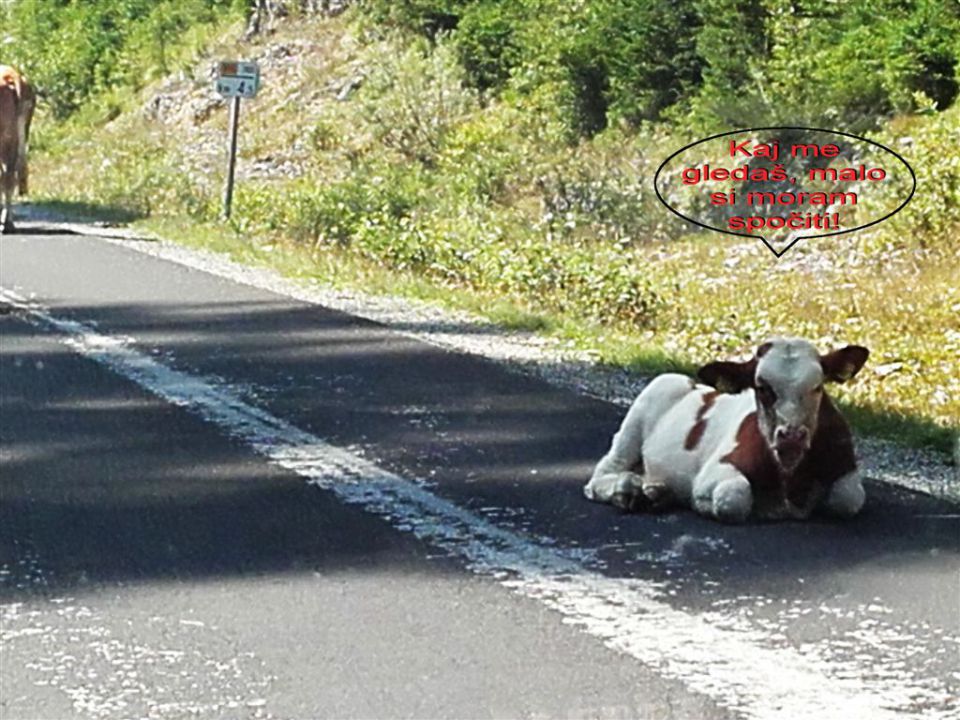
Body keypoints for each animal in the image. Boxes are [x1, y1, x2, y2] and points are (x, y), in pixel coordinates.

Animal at [584, 338, 872, 524]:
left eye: (817, 387)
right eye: (762, 387)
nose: (791, 435)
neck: (790, 482)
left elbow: (848, 498)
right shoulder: (716, 471)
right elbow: (733, 498)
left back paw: (654, 492)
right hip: (644, 409)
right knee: (601, 475)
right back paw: (627, 490)